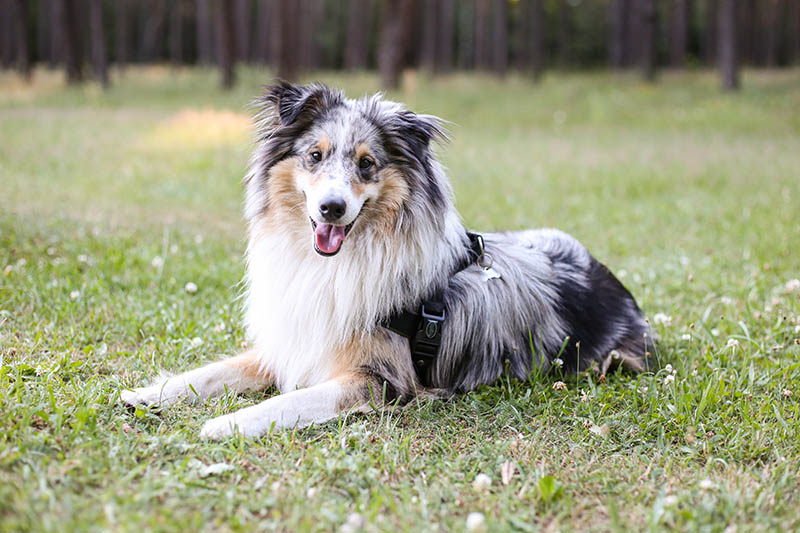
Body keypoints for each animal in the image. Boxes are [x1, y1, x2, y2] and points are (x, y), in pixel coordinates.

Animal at [120, 82, 656, 436]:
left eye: (366, 164)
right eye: (314, 156)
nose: (331, 208)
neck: (335, 264)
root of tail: (605, 275)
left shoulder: (381, 380)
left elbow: (290, 401)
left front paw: (224, 424)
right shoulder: (295, 340)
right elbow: (210, 372)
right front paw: (145, 395)